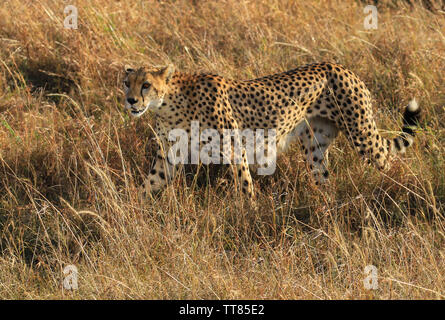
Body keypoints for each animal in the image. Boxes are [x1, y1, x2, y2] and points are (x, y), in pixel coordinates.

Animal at [124, 61, 420, 204]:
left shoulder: (235, 150)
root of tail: (340, 66)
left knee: (388, 161)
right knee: (324, 178)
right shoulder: (168, 156)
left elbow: (245, 187)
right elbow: (149, 185)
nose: (130, 100)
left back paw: (400, 189)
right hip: (315, 148)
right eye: (127, 82)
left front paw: (249, 217)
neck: (169, 104)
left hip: (362, 137)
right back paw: (326, 206)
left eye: (146, 84)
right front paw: (132, 213)